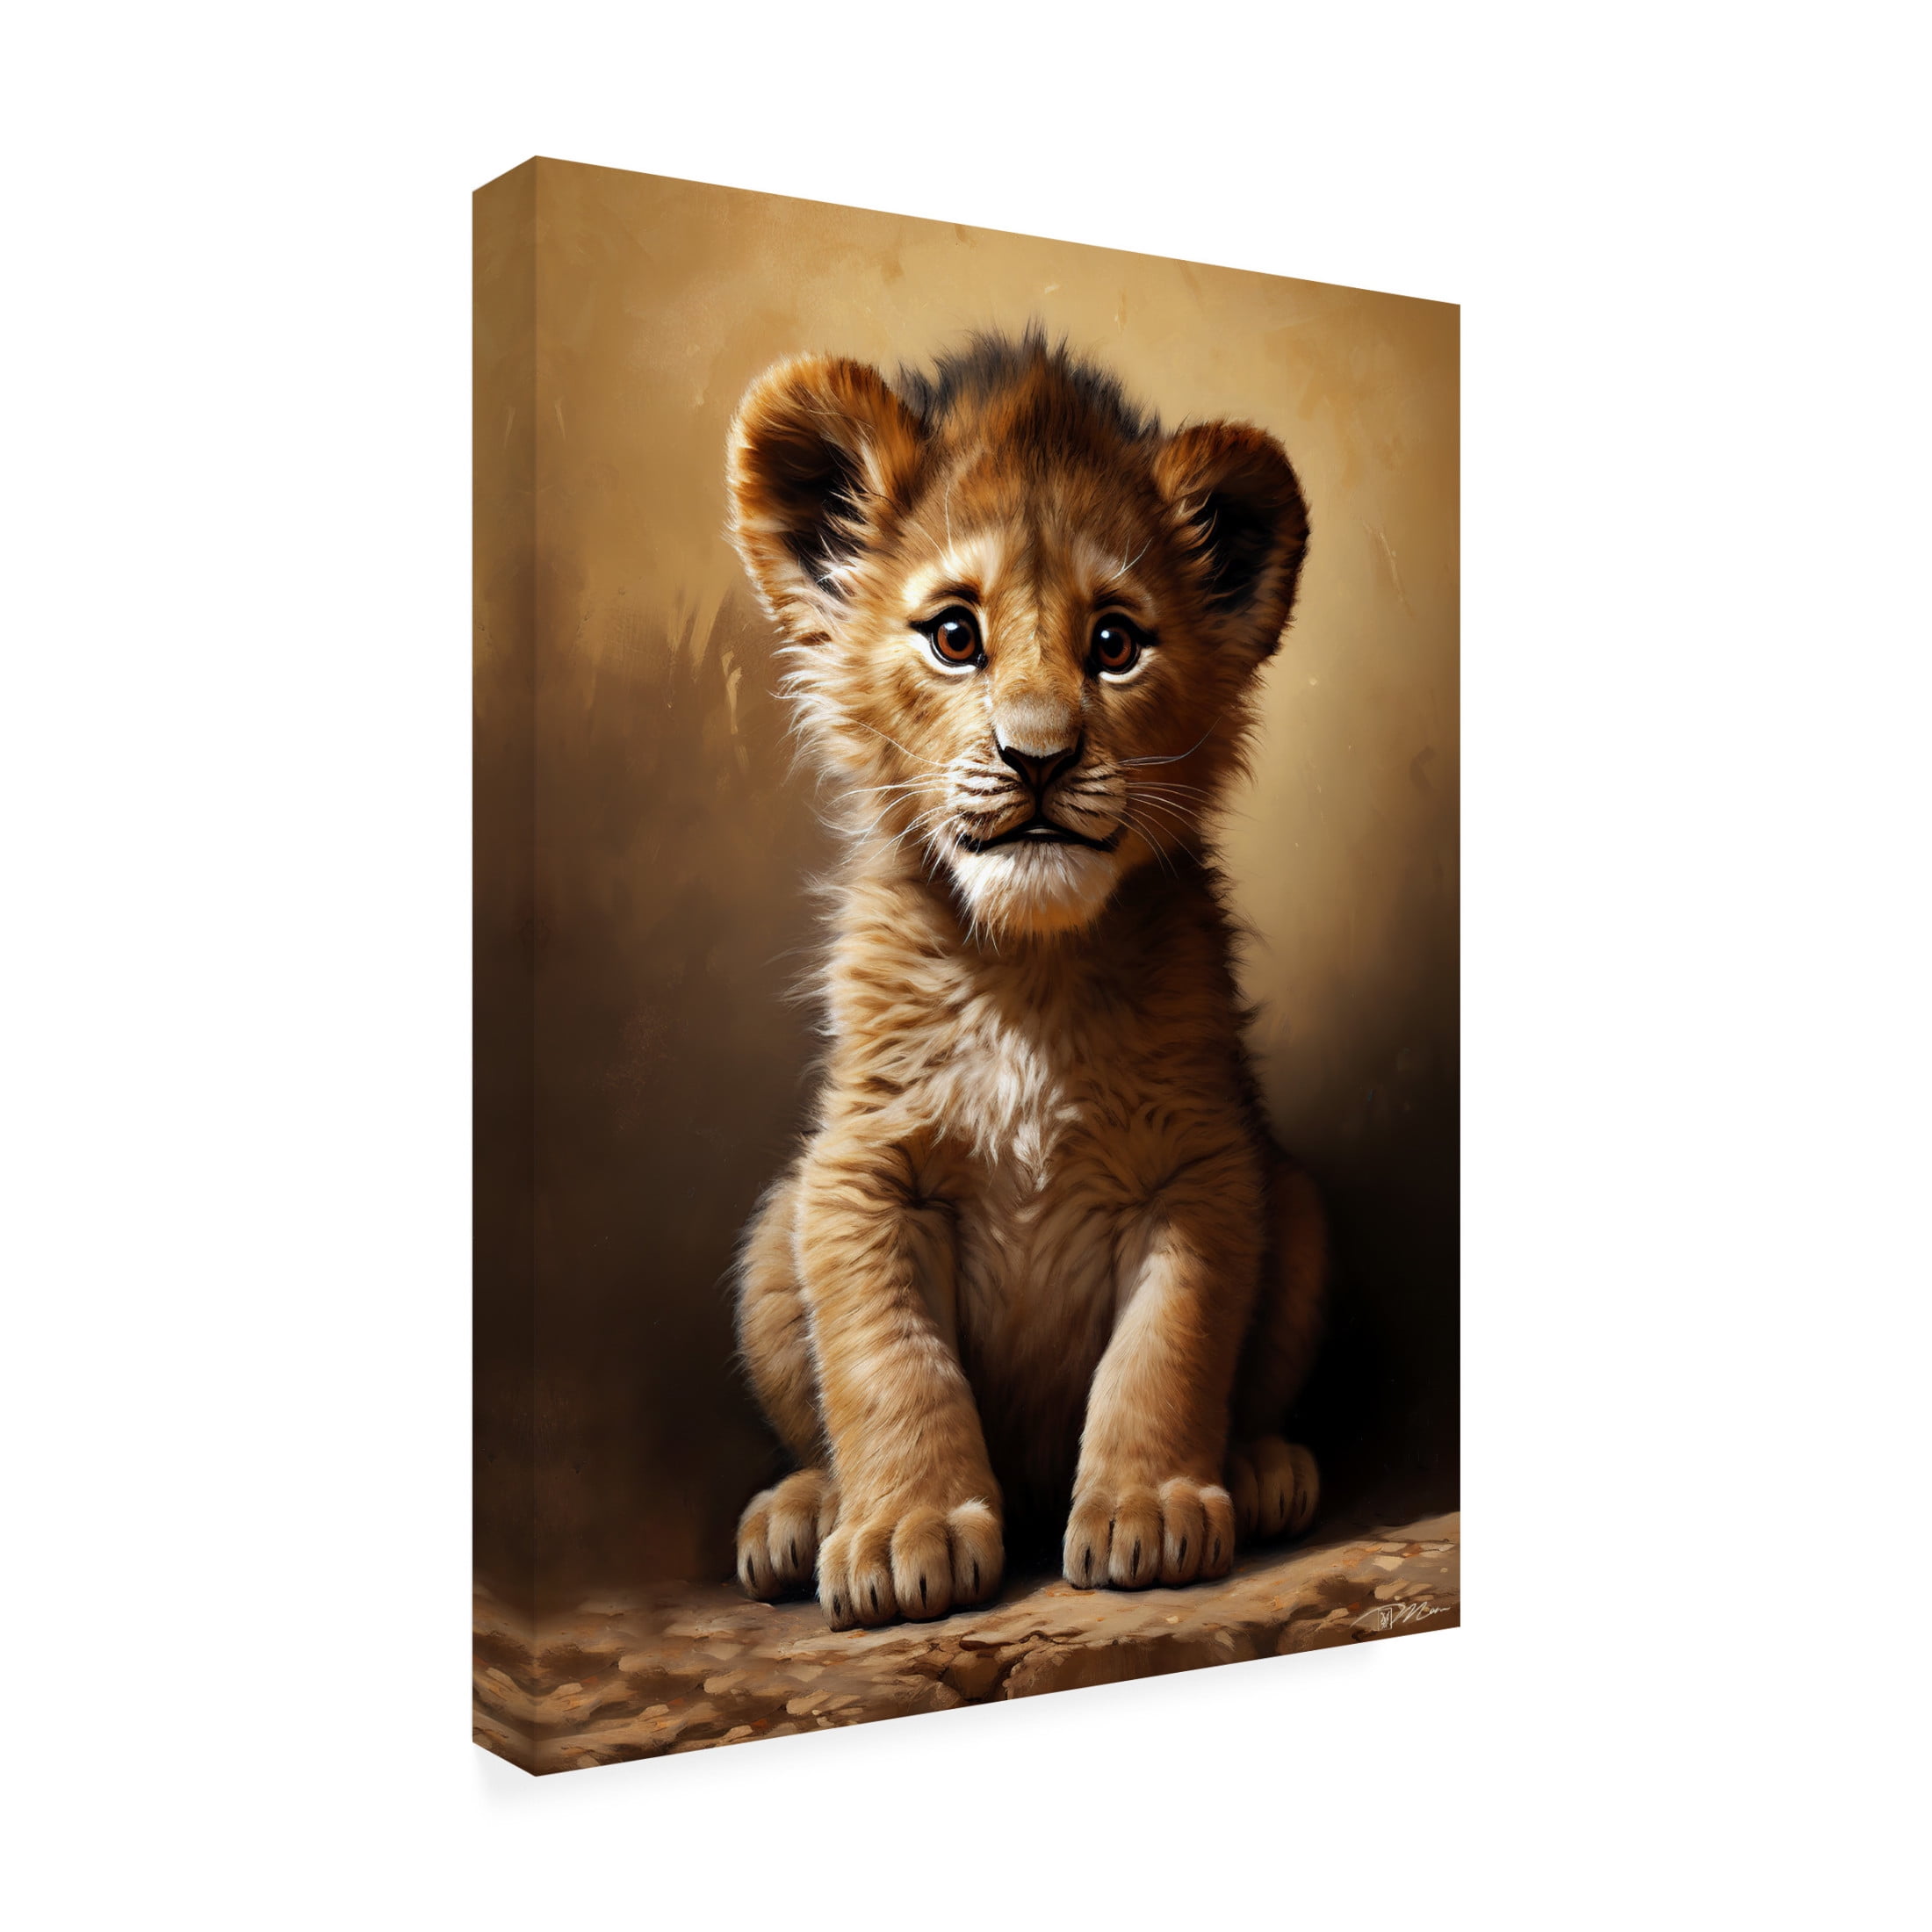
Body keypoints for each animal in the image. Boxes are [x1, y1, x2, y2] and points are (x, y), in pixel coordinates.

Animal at [724, 329, 1326, 1629]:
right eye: (955, 636)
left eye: (1115, 643)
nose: (1038, 758)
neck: (1028, 971)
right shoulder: (858, 1173)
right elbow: (892, 1365)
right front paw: (902, 1534)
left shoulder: (1202, 1169)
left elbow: (1163, 1355)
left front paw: (1149, 1511)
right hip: (768, 1237)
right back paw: (800, 1516)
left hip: (1298, 1206)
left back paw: (1262, 1472)